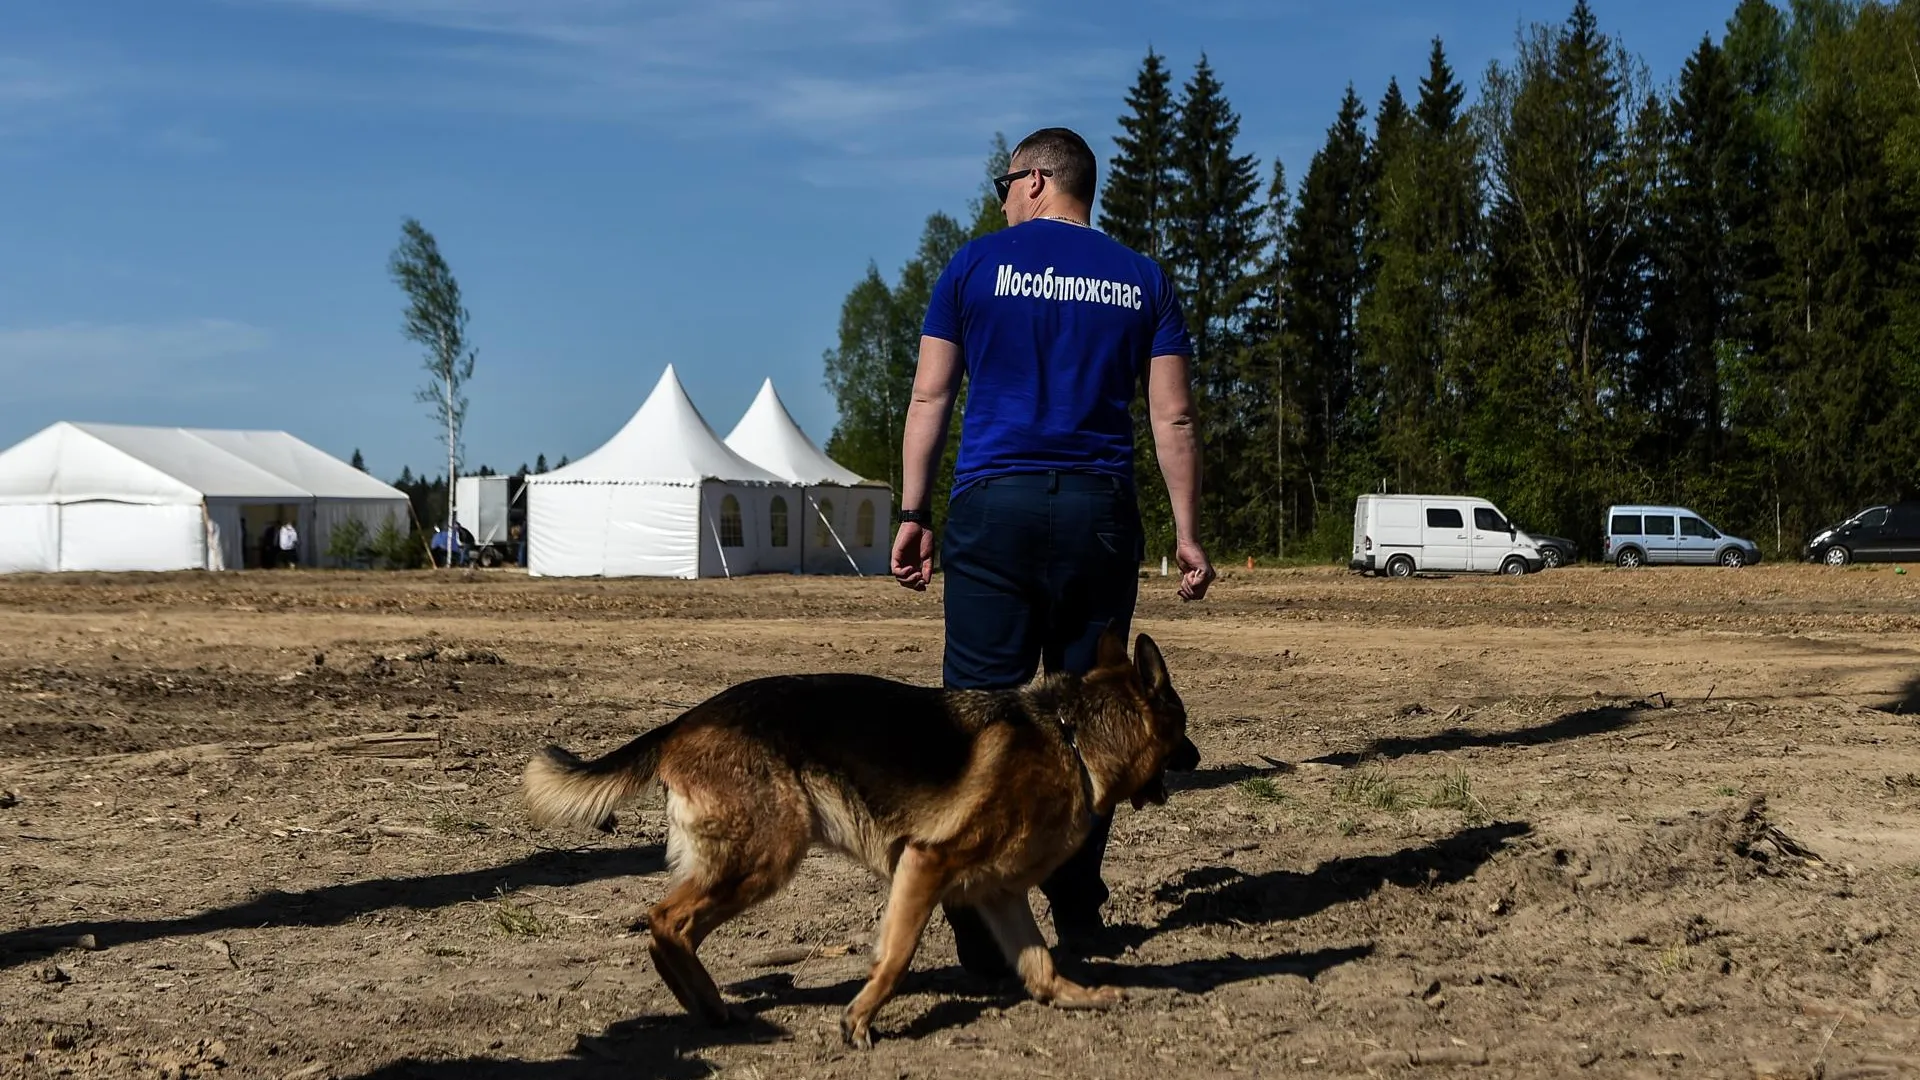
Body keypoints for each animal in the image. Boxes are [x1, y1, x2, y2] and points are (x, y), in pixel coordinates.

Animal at [518, 626, 1190, 1045]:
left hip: (748, 863)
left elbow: (1039, 961)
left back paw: (705, 1006)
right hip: (767, 857)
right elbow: (895, 955)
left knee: (673, 930)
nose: (1197, 756)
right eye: (1183, 728)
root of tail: (683, 721)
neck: (1073, 737)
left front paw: (1077, 996)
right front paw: (861, 1019)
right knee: (664, 921)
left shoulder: (1000, 895)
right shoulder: (924, 864)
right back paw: (710, 1006)